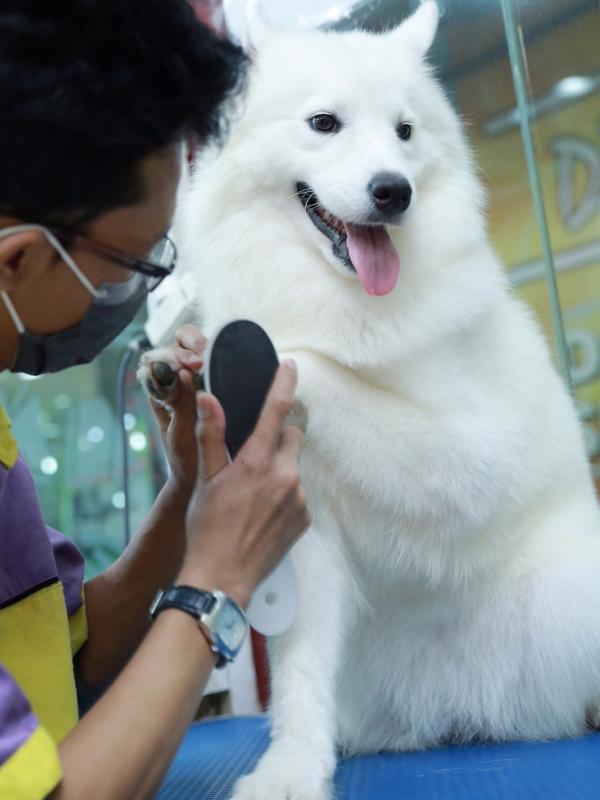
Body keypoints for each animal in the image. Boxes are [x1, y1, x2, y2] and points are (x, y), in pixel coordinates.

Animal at [144, 1, 600, 800]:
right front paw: (293, 769)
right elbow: (299, 674)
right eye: (324, 123)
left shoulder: (463, 457)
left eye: (405, 132)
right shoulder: (301, 527)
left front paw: (237, 353)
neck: (334, 295)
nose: (395, 191)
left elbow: (314, 363)